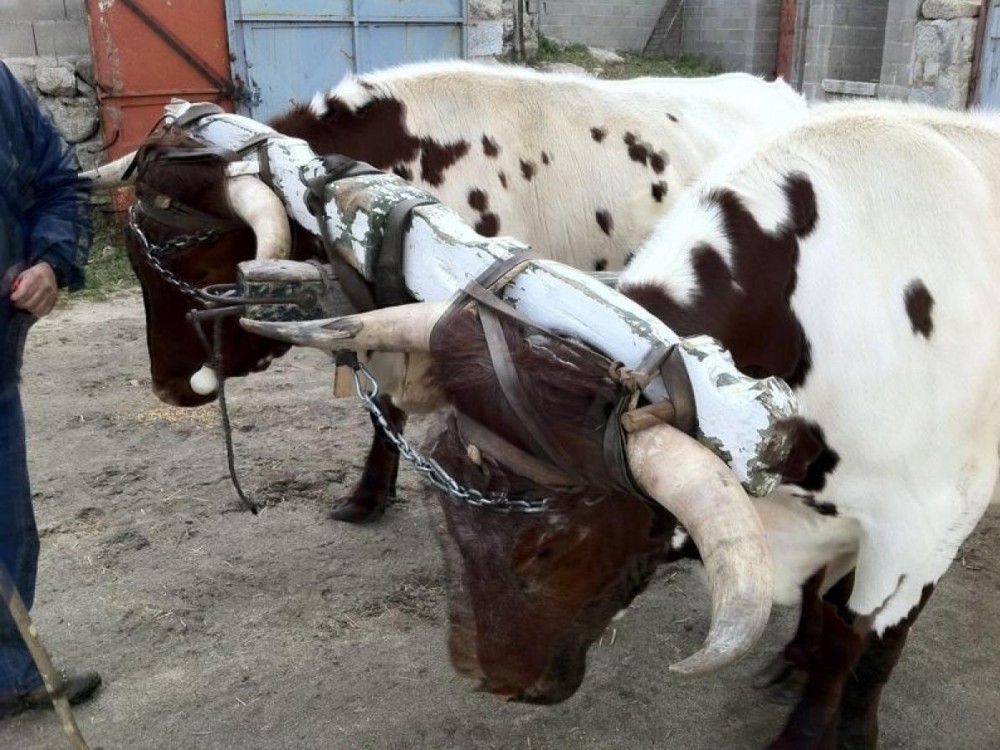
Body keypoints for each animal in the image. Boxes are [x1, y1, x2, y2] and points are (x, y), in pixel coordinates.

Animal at [302, 100, 1000, 747]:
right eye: (445, 507)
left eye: (553, 544)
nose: (492, 679)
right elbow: (821, 612)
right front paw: (799, 663)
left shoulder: (922, 532)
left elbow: (857, 646)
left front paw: (840, 729)